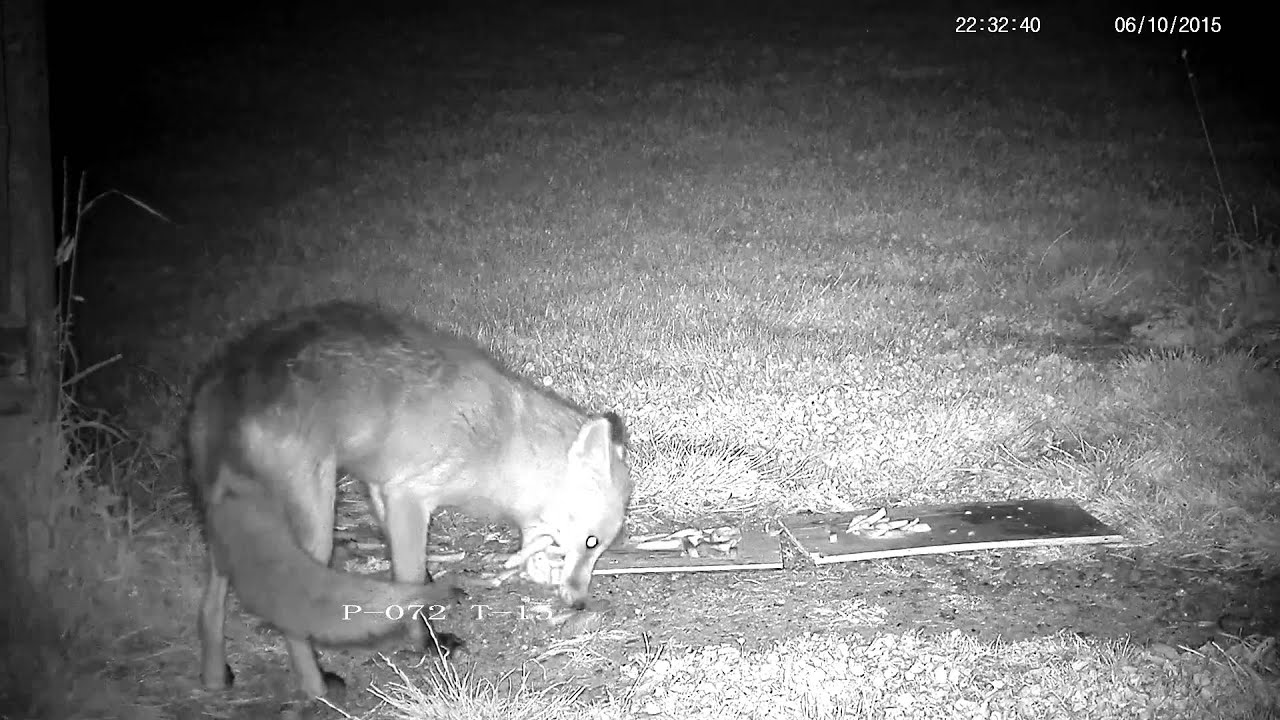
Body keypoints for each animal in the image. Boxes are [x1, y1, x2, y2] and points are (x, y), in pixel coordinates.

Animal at [187, 300, 634, 699]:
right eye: (591, 542)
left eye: (601, 549)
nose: (580, 602)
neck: (500, 443)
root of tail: (233, 382)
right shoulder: (409, 497)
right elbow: (409, 579)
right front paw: (425, 640)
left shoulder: (382, 487)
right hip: (314, 520)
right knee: (289, 613)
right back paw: (317, 690)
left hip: (235, 525)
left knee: (211, 603)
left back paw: (214, 676)